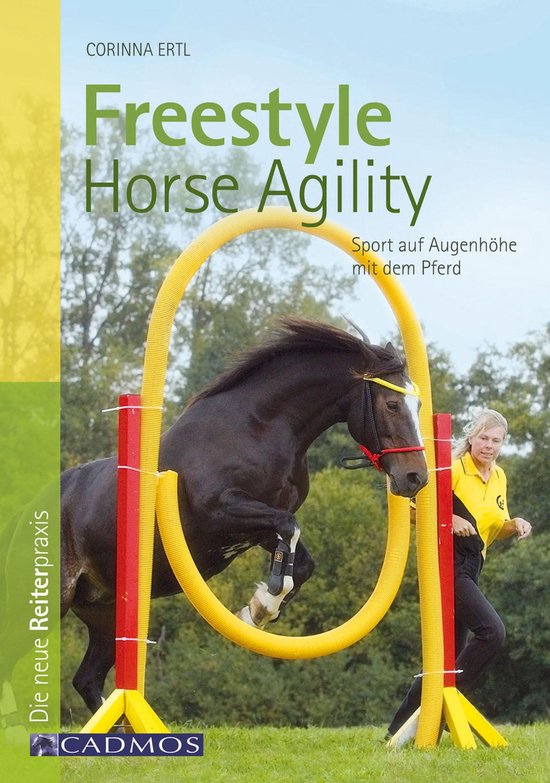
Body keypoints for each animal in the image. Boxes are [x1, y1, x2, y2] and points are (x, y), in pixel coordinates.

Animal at [60, 318, 428, 713]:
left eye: (418, 403)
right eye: (392, 404)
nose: (415, 477)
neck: (260, 427)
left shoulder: (259, 525)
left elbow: (300, 559)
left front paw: (259, 610)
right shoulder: (222, 512)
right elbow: (290, 530)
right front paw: (264, 603)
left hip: (104, 610)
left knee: (87, 679)